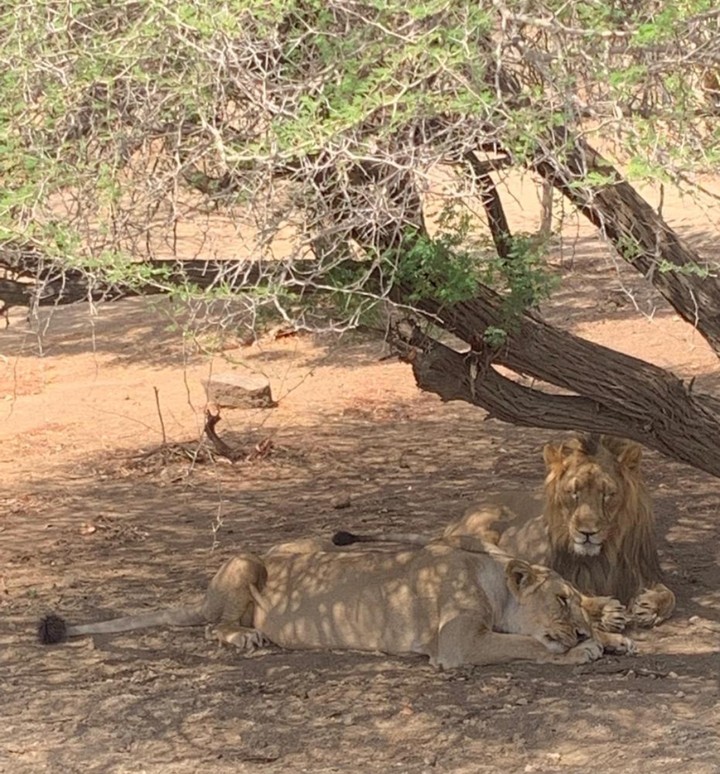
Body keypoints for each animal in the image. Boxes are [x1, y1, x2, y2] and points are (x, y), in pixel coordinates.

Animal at [334, 434, 675, 629]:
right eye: (573, 492)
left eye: (607, 494)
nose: (586, 533)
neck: (602, 555)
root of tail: (453, 520)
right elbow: (572, 592)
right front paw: (605, 610)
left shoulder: (640, 571)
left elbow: (669, 595)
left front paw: (648, 607)